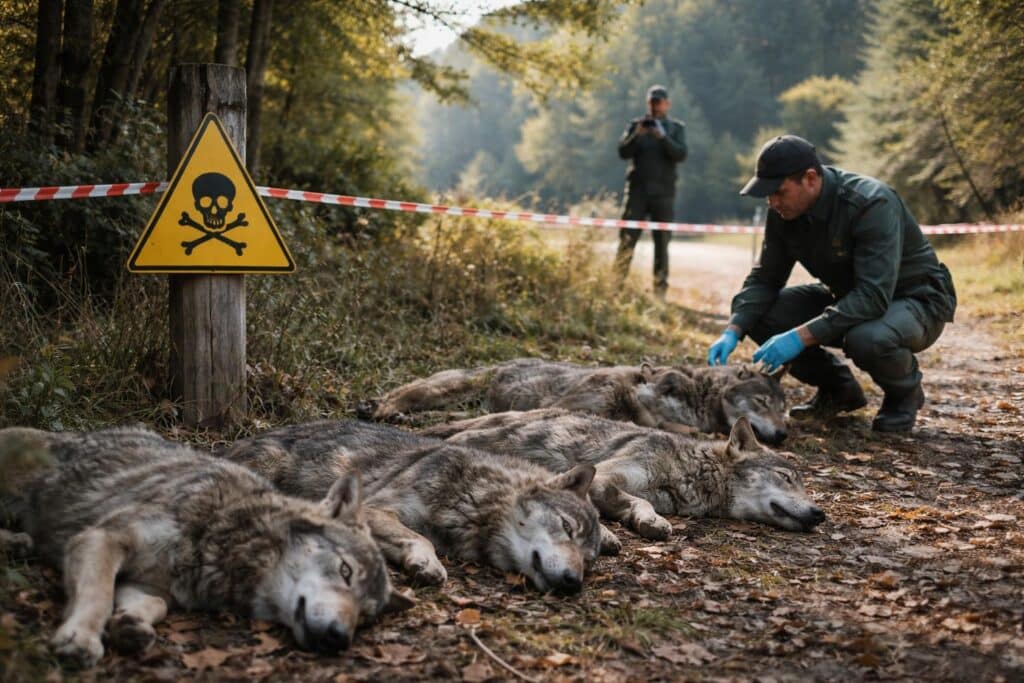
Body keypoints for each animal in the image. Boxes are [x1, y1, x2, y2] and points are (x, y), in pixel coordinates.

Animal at [0, 426, 406, 667]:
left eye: (366, 616)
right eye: (345, 571)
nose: (340, 639)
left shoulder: (151, 583)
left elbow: (156, 604)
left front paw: (129, 624)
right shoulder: (101, 538)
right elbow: (98, 594)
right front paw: (81, 638)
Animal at [221, 420, 608, 594]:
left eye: (588, 561)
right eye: (567, 527)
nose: (574, 582)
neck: (475, 500)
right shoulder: (375, 509)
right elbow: (419, 538)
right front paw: (427, 562)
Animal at [423, 408, 825, 540]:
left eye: (805, 486)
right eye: (786, 477)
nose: (821, 514)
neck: (688, 470)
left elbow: (635, 504)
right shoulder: (605, 476)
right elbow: (642, 502)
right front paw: (652, 522)